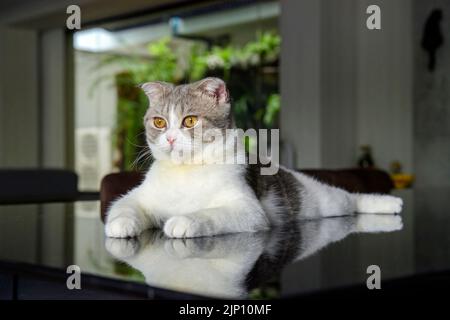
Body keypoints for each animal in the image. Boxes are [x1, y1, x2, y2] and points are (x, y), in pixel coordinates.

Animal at [104, 77, 400, 238]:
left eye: (189, 120)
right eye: (159, 122)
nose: (170, 139)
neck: (187, 170)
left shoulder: (248, 210)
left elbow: (210, 213)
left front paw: (184, 221)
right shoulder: (140, 196)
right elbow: (123, 205)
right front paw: (120, 224)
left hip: (325, 202)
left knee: (351, 199)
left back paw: (388, 203)